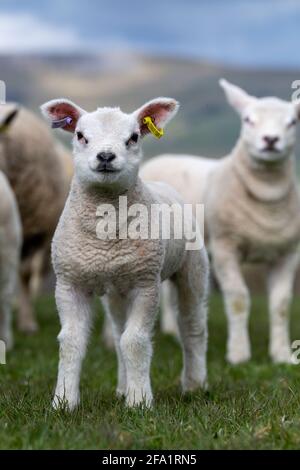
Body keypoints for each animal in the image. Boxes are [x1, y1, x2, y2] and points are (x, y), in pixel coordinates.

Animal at [40, 94, 209, 408]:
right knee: (118, 333)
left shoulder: (145, 284)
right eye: (80, 135)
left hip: (192, 269)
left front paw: (139, 401)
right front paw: (64, 402)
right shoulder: (70, 283)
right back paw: (121, 387)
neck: (105, 235)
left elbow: (136, 341)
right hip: (117, 289)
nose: (106, 156)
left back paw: (194, 384)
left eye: (133, 137)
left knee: (192, 327)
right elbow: (71, 341)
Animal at [140, 81, 300, 366]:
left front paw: (282, 354)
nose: (271, 140)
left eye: (292, 122)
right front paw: (238, 353)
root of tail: (163, 157)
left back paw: (171, 330)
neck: (267, 200)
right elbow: (238, 298)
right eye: (248, 119)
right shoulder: (225, 247)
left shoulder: (288, 253)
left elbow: (280, 305)